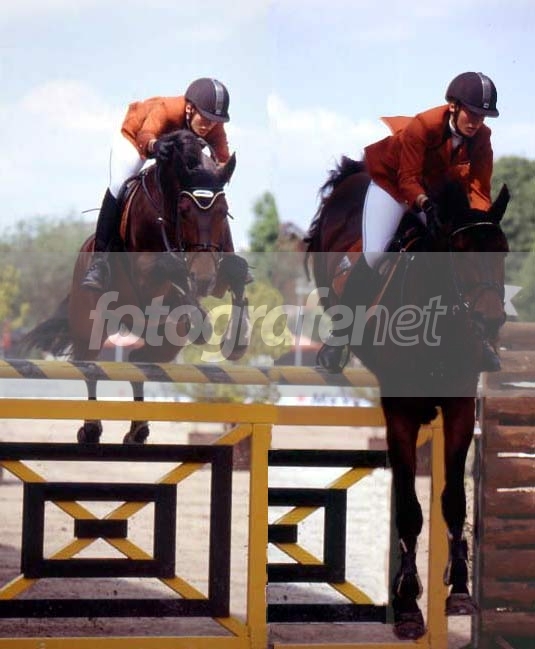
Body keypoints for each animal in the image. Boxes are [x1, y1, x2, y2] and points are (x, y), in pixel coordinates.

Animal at [21, 129, 251, 444]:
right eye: (184, 210)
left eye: (223, 211)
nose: (203, 277)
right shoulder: (144, 274)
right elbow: (170, 266)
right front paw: (197, 310)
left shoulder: (217, 268)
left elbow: (236, 271)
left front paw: (237, 338)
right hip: (90, 323)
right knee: (89, 364)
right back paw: (91, 428)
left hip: (163, 340)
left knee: (139, 361)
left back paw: (138, 429)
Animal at [305, 157, 509, 639]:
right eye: (461, 253)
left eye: (504, 251)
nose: (490, 321)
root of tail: (356, 172)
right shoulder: (399, 411)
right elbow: (410, 510)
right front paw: (408, 605)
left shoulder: (459, 407)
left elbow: (453, 501)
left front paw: (459, 592)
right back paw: (333, 348)